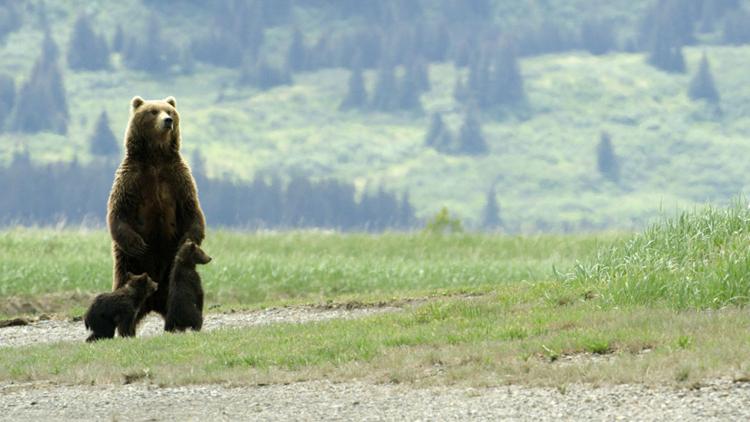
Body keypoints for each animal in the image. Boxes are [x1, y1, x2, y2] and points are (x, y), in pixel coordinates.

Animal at [108, 96, 206, 336]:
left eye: (169, 110)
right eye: (152, 111)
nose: (167, 121)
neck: (155, 158)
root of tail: (152, 302)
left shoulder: (178, 180)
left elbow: (193, 212)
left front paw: (186, 240)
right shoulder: (131, 180)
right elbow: (118, 213)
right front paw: (137, 243)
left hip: (172, 280)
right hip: (129, 267)